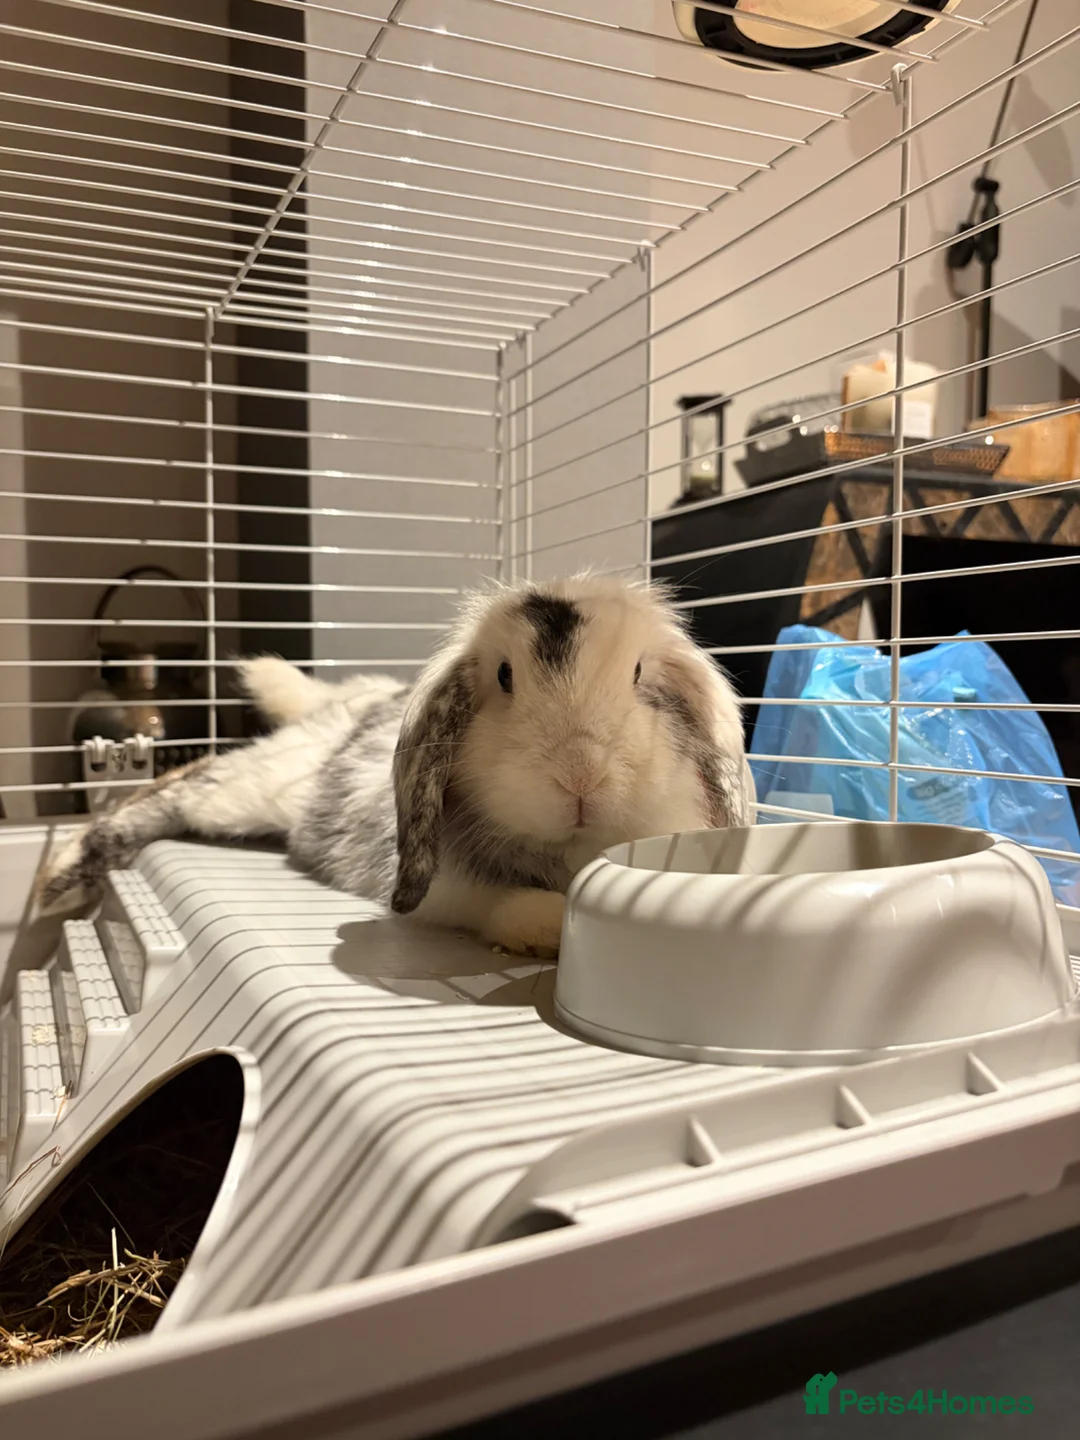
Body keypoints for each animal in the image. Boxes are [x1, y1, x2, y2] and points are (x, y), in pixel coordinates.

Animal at [35, 573, 752, 957]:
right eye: (504, 675)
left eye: (638, 676)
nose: (581, 777)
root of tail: (347, 701)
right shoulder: (441, 883)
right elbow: (495, 899)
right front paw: (549, 927)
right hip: (244, 792)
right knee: (163, 791)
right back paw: (57, 880)